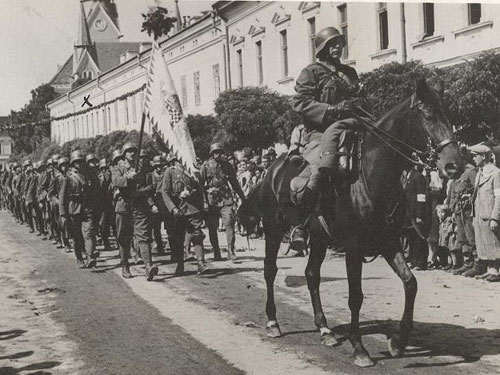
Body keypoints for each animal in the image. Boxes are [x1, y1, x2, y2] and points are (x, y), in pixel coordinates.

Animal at [238, 78, 464, 368]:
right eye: (428, 115)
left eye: (448, 114)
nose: (454, 166)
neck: (370, 175)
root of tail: (270, 170)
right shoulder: (353, 248)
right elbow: (355, 296)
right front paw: (360, 349)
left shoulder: (388, 242)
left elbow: (410, 283)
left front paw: (398, 341)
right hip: (274, 230)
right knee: (270, 270)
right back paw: (273, 322)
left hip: (319, 239)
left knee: (312, 275)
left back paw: (325, 329)